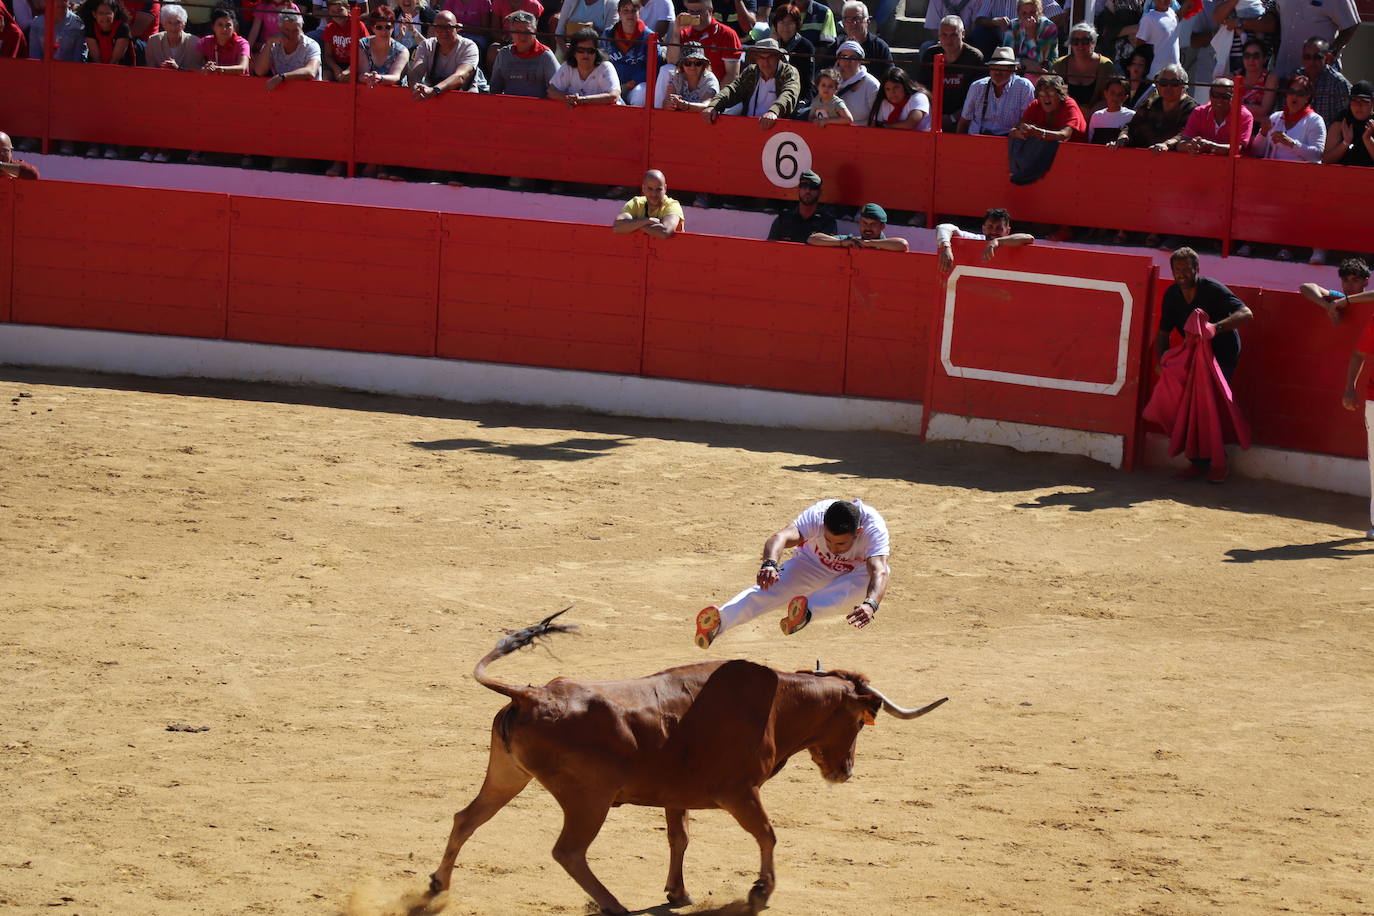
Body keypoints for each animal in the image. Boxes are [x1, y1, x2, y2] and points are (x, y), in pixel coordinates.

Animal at [425, 612, 945, 911]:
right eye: (859, 722)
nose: (845, 771)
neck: (777, 703)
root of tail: (530, 693)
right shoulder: (740, 792)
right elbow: (767, 834)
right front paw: (760, 892)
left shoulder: (676, 795)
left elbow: (680, 838)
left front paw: (678, 892)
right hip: (588, 798)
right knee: (568, 851)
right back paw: (614, 907)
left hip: (507, 776)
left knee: (466, 818)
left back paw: (435, 885)